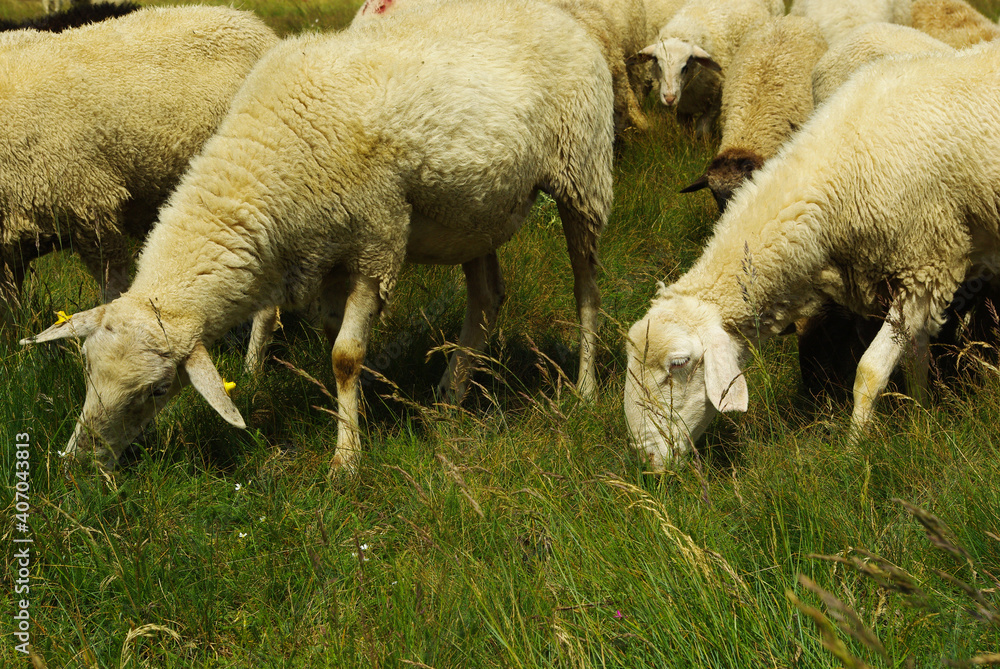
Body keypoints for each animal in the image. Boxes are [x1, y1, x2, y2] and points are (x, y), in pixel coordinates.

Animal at [623, 44, 1000, 469]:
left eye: (678, 365)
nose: (647, 460)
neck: (841, 170)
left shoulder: (929, 263)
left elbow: (870, 371)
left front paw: (854, 451)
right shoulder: (919, 272)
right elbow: (916, 354)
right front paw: (921, 411)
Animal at [637, 0, 785, 136]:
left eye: (685, 67)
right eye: (658, 65)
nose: (669, 99)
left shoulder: (718, 98)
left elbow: (702, 130)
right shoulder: (683, 108)